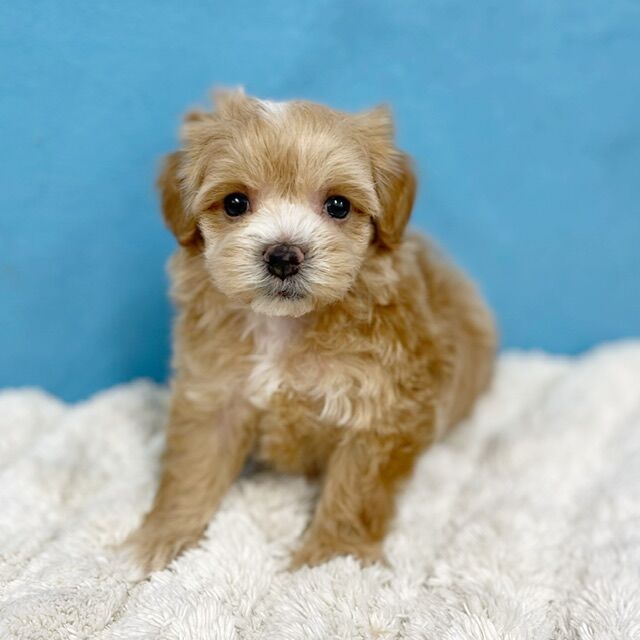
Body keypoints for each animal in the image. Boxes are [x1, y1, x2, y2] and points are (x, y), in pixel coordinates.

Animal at [125, 89, 496, 573]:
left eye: (338, 205)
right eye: (234, 203)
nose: (284, 255)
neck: (285, 326)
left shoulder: (380, 408)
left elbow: (355, 488)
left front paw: (332, 556)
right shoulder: (213, 393)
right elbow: (193, 467)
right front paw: (164, 536)